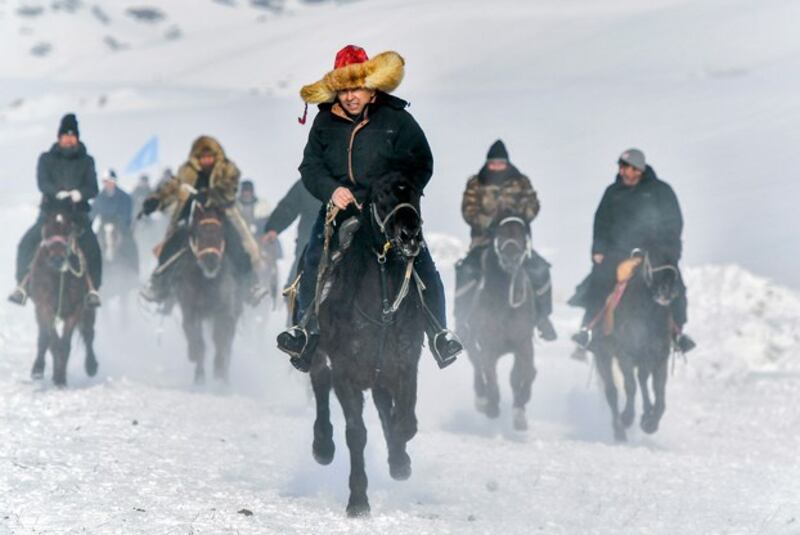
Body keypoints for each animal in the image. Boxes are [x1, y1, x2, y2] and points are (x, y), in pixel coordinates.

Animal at [308, 176, 432, 520]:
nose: (409, 236)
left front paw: (400, 459)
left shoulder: (405, 363)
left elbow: (404, 419)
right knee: (320, 385)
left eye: (417, 192)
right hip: (320, 357)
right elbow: (356, 433)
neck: (382, 307)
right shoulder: (346, 374)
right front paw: (358, 502)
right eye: (381, 194)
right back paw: (323, 447)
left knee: (382, 405)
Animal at [456, 217, 536, 432]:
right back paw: (482, 400)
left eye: (522, 233)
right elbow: (490, 374)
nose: (511, 258)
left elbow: (524, 374)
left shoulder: (523, 343)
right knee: (476, 364)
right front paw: (491, 407)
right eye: (499, 233)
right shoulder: (489, 346)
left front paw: (519, 413)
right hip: (467, 337)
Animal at [592, 249, 680, 442]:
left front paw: (650, 424)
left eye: (674, 261)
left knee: (642, 381)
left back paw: (646, 414)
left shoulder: (659, 358)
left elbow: (659, 391)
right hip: (604, 356)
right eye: (651, 261)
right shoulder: (626, 355)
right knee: (612, 392)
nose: (667, 290)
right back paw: (619, 430)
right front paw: (627, 418)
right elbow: (630, 386)